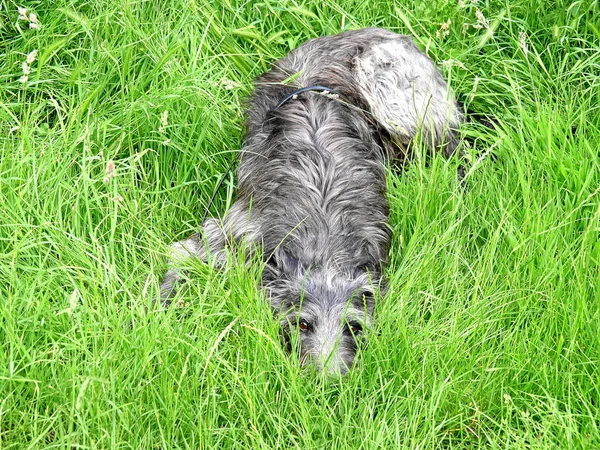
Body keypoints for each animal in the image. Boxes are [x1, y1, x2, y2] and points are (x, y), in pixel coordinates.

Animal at [158, 26, 464, 374]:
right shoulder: (236, 230)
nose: (328, 381)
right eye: (303, 324)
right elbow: (181, 256)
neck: (322, 237)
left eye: (353, 327)